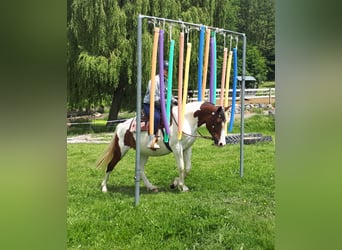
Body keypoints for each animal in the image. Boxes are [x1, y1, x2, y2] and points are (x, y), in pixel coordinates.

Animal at [96, 100, 227, 192]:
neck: (185, 120)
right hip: (121, 150)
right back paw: (104, 188)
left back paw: (151, 186)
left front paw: (175, 183)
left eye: (225, 121)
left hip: (144, 153)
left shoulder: (187, 148)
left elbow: (188, 168)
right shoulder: (177, 148)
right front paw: (181, 186)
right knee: (110, 165)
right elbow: (181, 167)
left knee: (140, 169)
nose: (221, 143)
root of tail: (121, 126)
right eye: (218, 121)